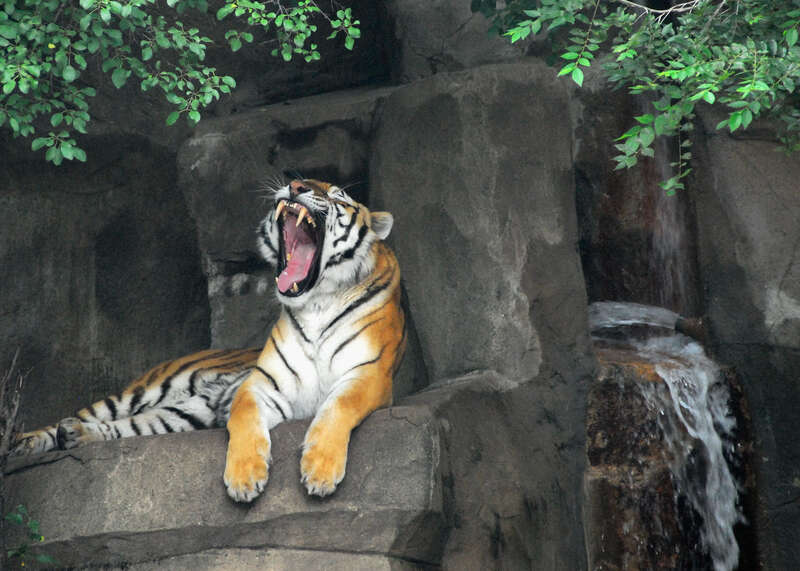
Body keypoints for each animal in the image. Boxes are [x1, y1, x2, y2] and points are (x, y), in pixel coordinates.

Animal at [11, 179, 407, 502]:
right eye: (302, 179)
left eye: (338, 196)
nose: (296, 186)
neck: (317, 301)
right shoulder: (262, 384)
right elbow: (245, 417)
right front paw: (245, 479)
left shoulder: (369, 376)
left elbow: (337, 407)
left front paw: (320, 472)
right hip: (146, 390)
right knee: (80, 417)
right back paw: (22, 444)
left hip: (183, 414)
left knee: (129, 427)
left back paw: (77, 436)